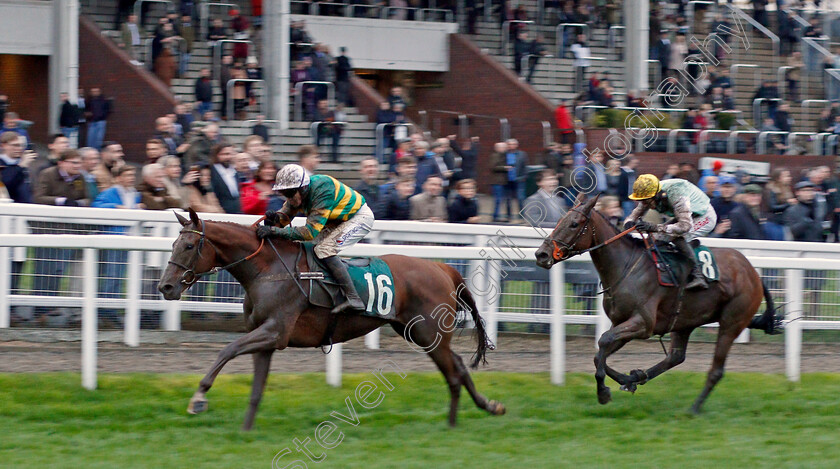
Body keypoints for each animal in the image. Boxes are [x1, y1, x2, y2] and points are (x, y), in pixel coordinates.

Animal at [158, 208, 502, 428]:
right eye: (173, 244)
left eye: (189, 245)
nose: (166, 286)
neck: (267, 269)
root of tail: (442, 267)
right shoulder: (266, 338)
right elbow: (256, 389)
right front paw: (245, 430)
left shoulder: (276, 331)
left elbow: (226, 350)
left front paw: (198, 399)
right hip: (420, 333)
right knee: (458, 366)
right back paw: (485, 407)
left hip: (429, 334)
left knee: (453, 372)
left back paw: (456, 421)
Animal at [536, 194, 776, 414]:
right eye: (560, 220)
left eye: (574, 224)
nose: (541, 254)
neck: (626, 266)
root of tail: (753, 272)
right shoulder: (623, 323)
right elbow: (599, 353)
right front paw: (628, 379)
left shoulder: (643, 323)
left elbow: (603, 341)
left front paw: (604, 392)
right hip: (684, 321)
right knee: (675, 357)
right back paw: (640, 378)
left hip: (731, 323)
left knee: (716, 370)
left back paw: (694, 408)